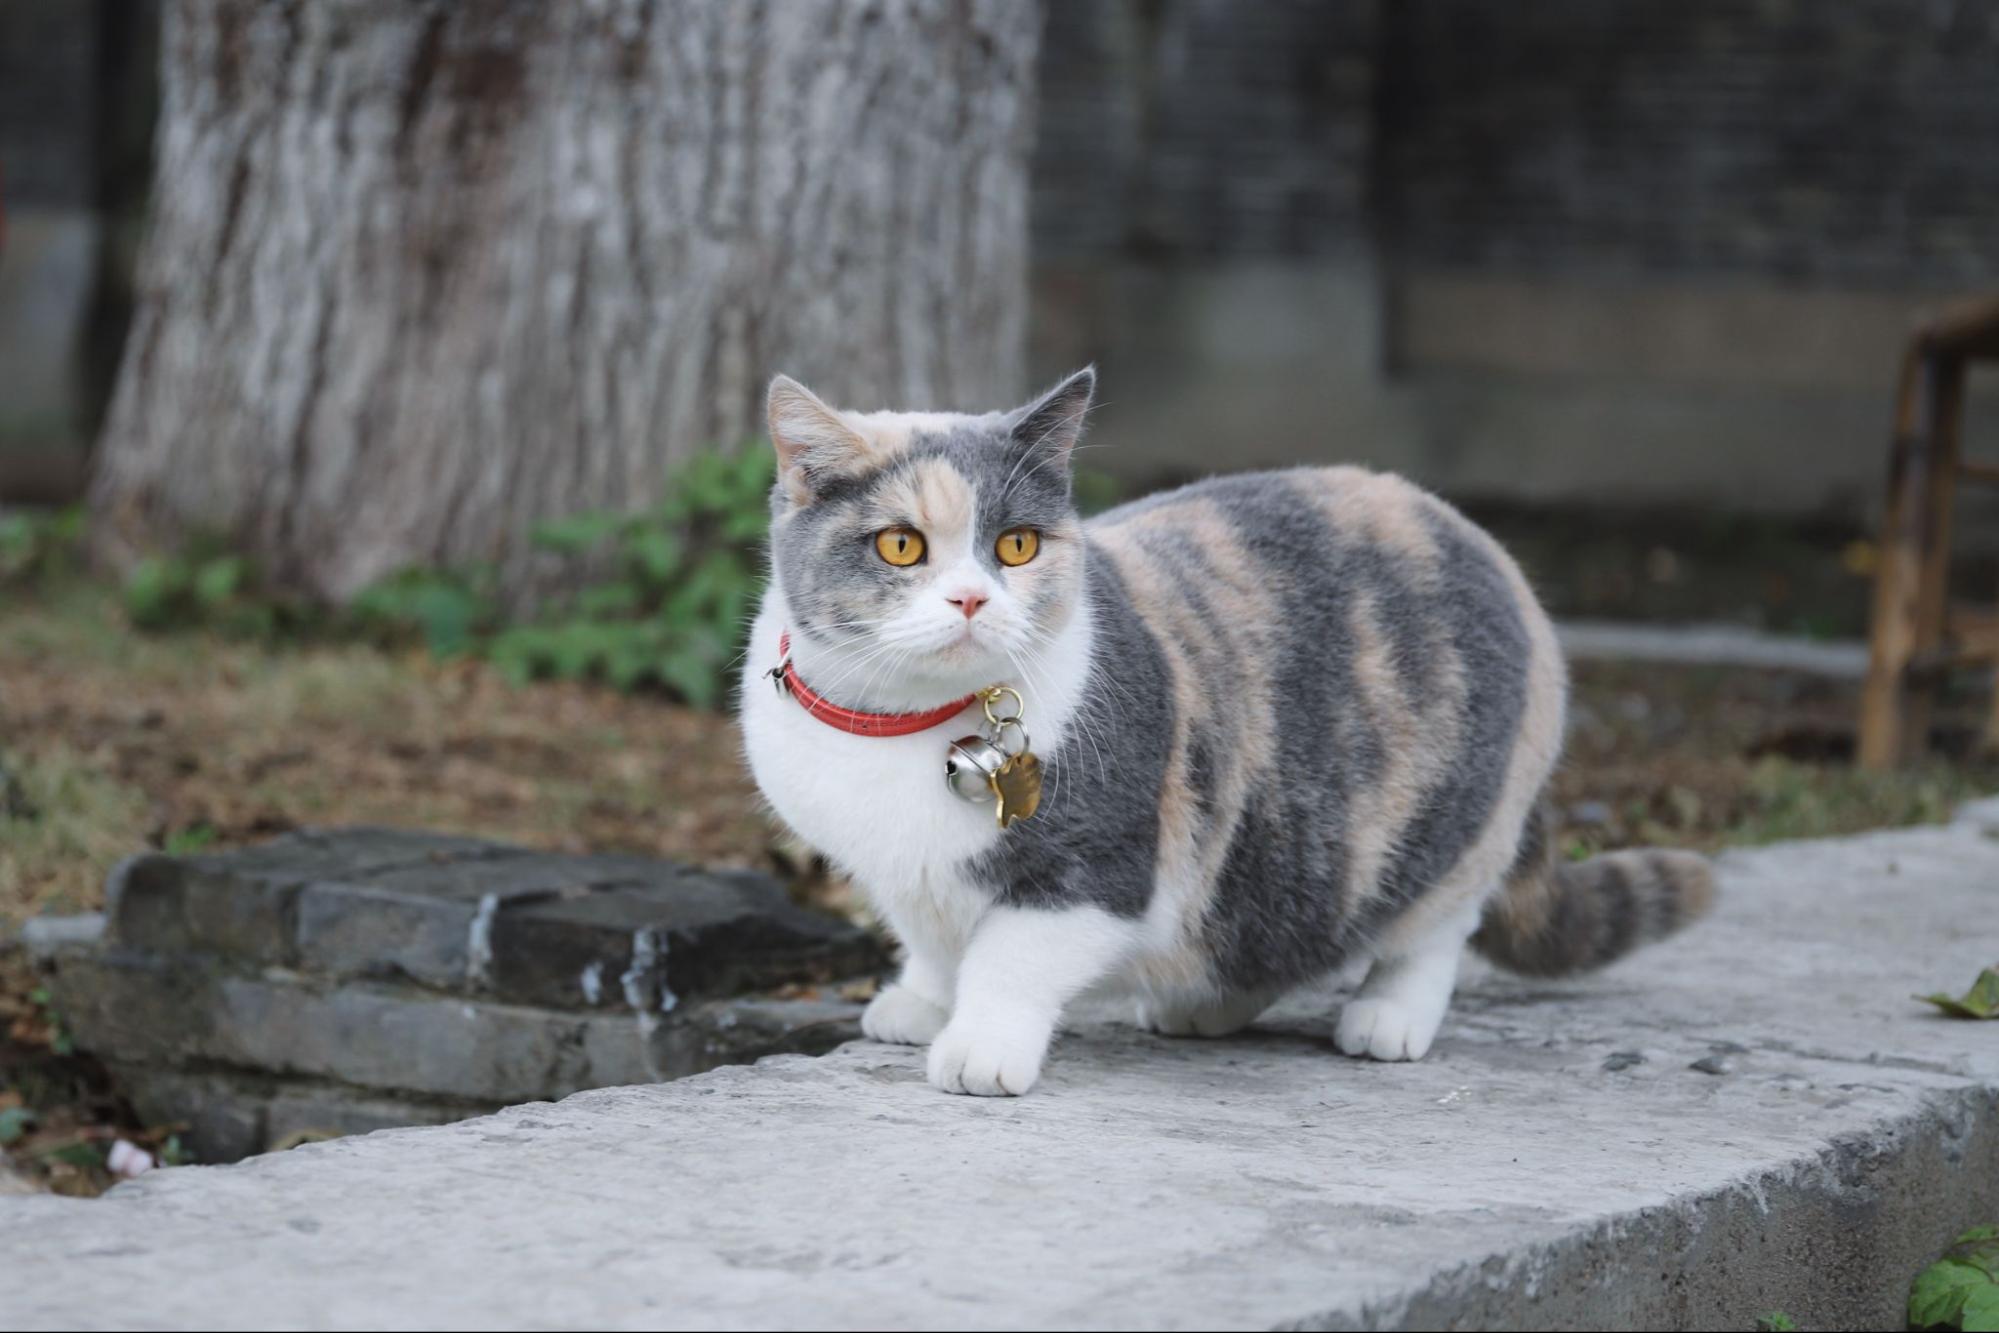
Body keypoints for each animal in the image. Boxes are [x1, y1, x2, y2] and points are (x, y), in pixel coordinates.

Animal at [743, 369, 1711, 1103]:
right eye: (901, 546)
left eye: (1016, 545)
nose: (973, 597)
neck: (904, 725)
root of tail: (1479, 538)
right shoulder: (901, 876)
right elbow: (932, 939)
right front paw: (918, 1002)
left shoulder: (1099, 866)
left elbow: (1008, 957)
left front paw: (979, 1046)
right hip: (1283, 844)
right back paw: (1203, 1005)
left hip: (1450, 826)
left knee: (1434, 924)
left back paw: (1386, 1017)